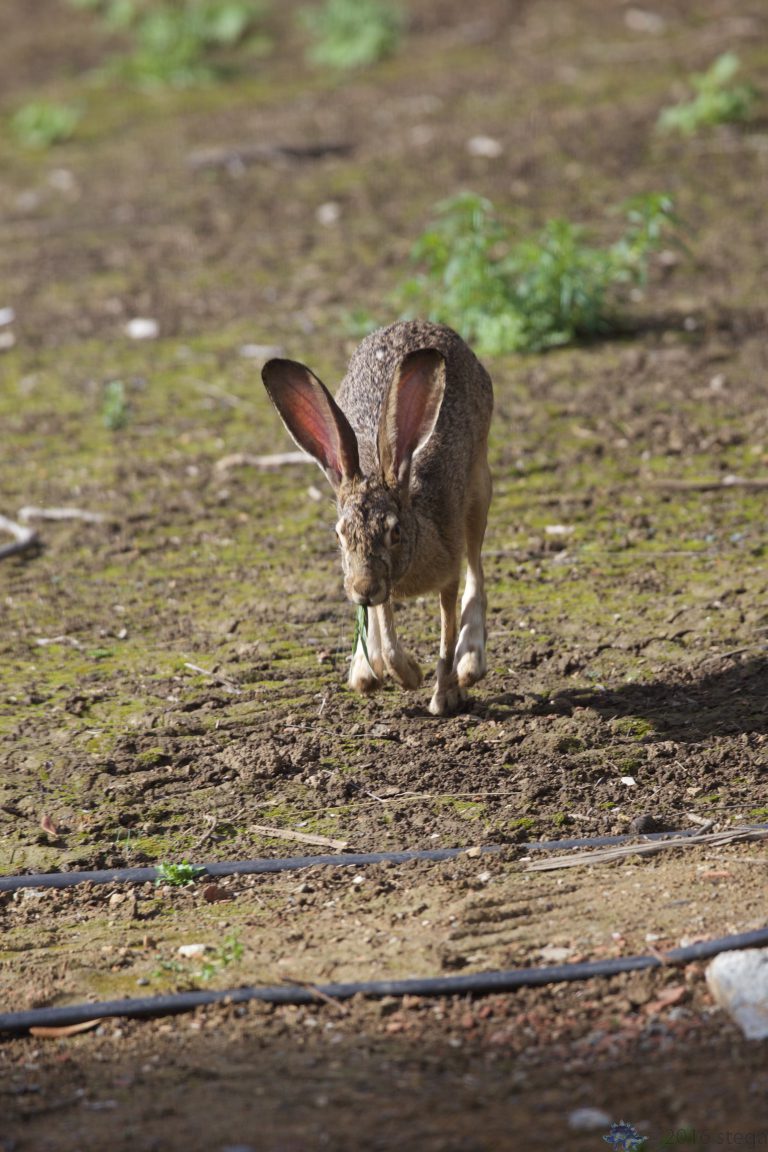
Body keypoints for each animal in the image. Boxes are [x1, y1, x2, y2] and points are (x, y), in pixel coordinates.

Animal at [261, 319, 493, 715]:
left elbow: (446, 634)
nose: (361, 588)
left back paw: (471, 663)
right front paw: (406, 674)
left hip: (479, 489)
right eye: (339, 534)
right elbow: (386, 633)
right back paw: (365, 670)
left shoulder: (445, 570)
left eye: (395, 532)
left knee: (476, 571)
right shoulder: (383, 583)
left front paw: (443, 695)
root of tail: (420, 322)